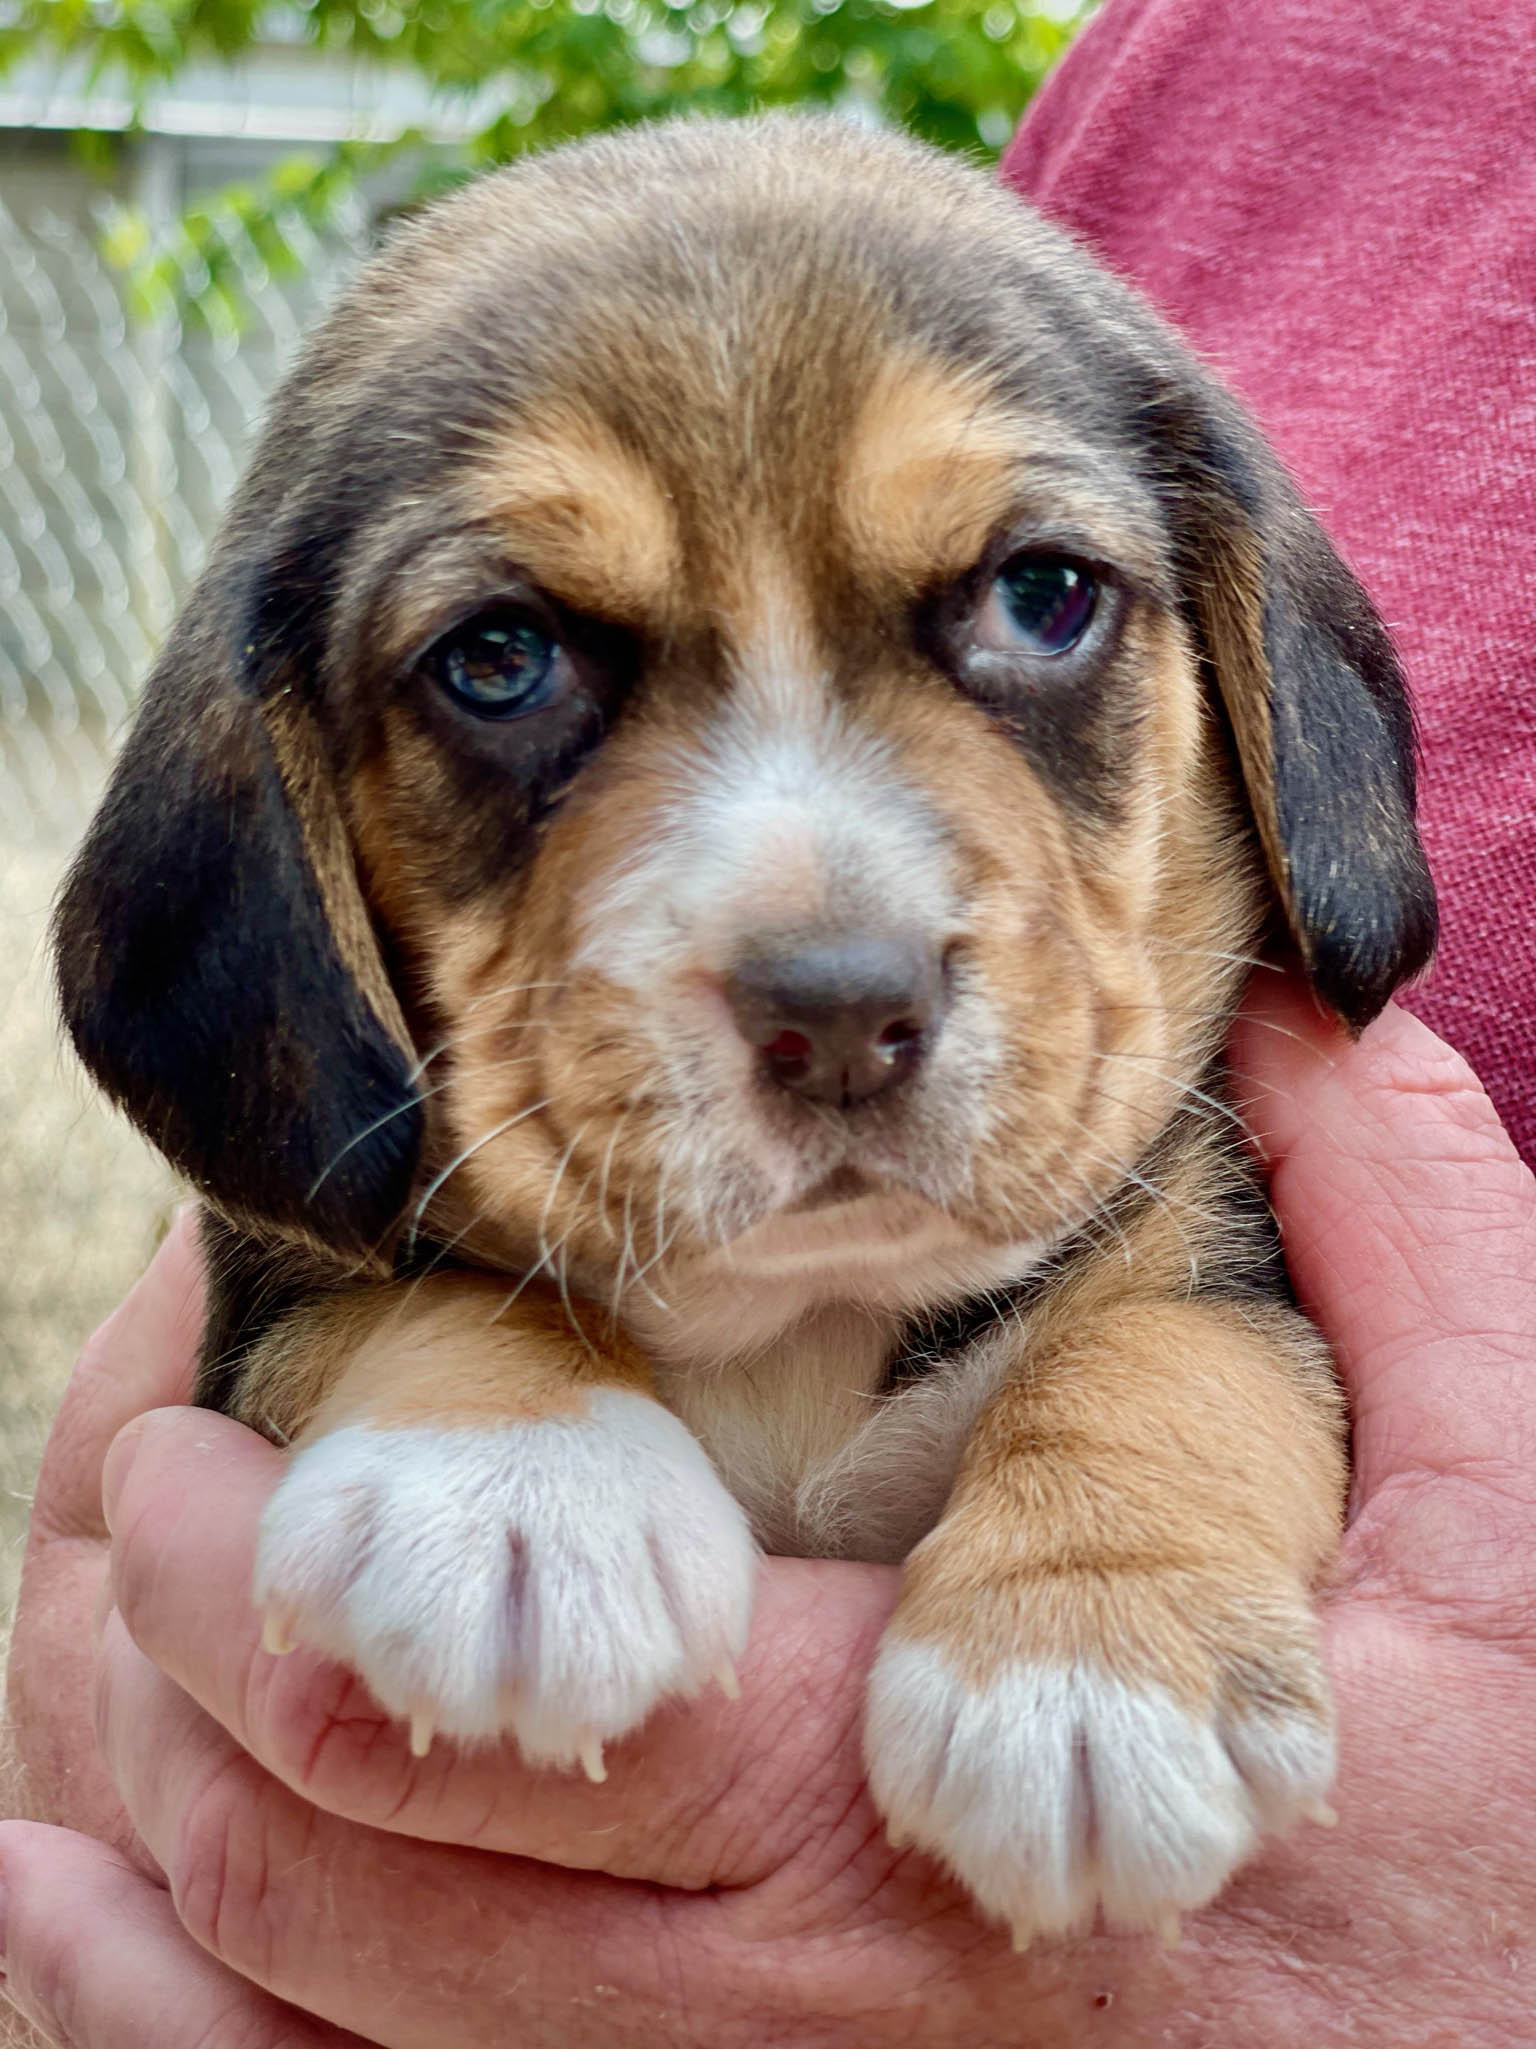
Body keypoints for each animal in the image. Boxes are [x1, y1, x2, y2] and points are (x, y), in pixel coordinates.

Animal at [51, 108, 1441, 1934]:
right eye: (500, 657)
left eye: (1040, 594)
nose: (843, 1009)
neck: (798, 1317)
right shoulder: (268, 1295)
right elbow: (419, 1287)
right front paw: (512, 1491)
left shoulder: (1215, 1239)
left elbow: (1164, 1343)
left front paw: (1087, 1655)